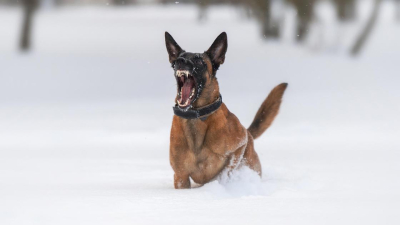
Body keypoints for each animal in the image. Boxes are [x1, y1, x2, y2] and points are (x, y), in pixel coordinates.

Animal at [166, 31, 288, 189]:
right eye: (177, 59)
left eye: (199, 61)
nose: (180, 61)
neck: (197, 118)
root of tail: (249, 133)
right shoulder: (181, 177)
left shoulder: (240, 144)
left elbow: (227, 168)